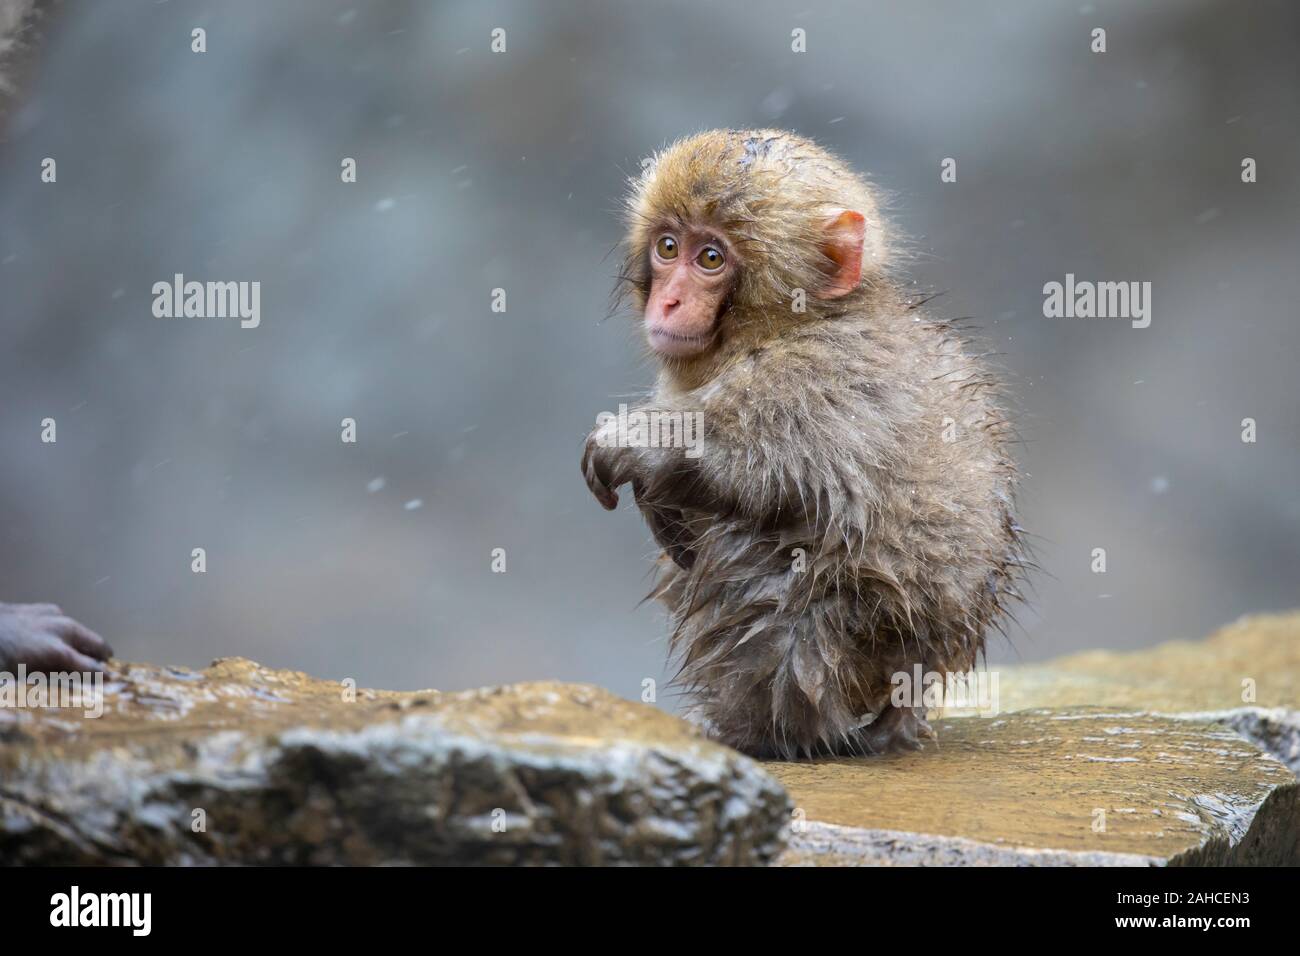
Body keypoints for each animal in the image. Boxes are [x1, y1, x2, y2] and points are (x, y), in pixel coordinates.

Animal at [582, 129, 1024, 760]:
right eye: (668, 246)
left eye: (710, 258)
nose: (667, 303)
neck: (789, 324)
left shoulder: (813, 376)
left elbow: (768, 464)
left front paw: (641, 442)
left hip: (852, 637)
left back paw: (761, 730)